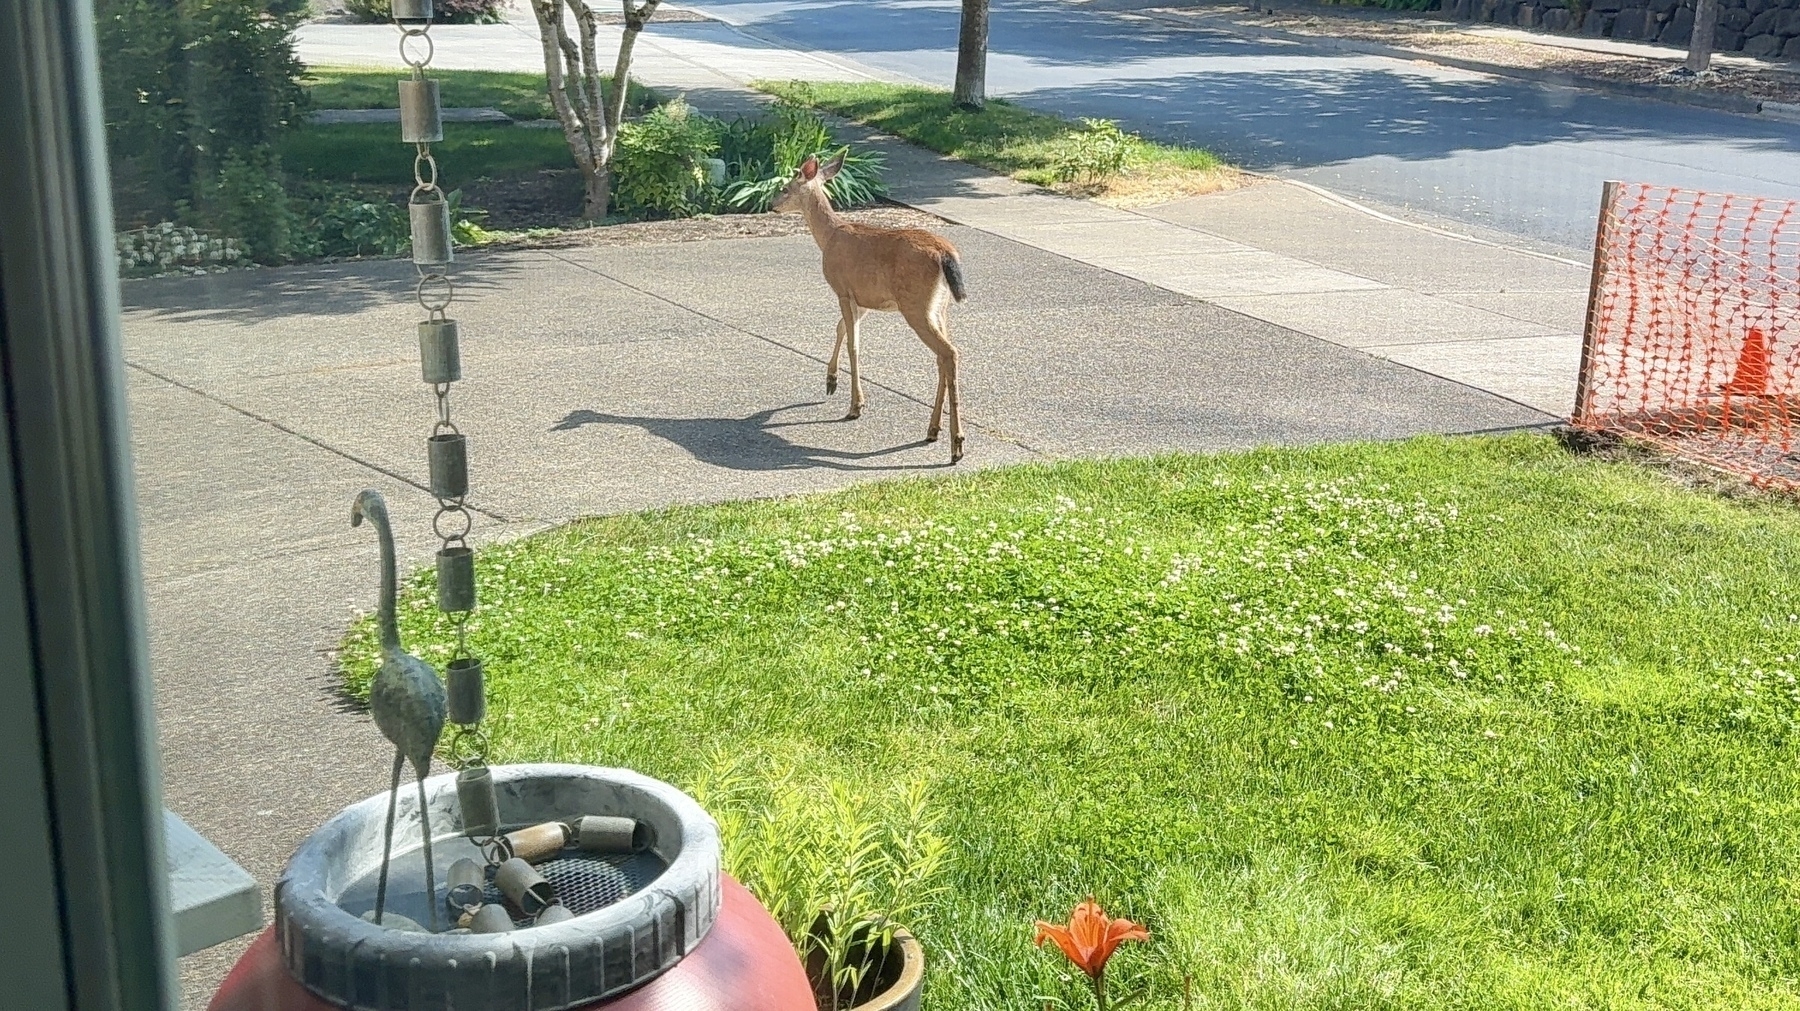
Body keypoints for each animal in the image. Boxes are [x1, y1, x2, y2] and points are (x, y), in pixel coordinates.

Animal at [773, 152, 970, 463]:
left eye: (785, 188)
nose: (772, 205)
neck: (829, 236)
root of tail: (945, 253)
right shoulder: (865, 298)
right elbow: (841, 329)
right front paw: (831, 381)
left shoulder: (843, 289)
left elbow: (853, 343)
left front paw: (855, 405)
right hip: (940, 306)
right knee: (942, 356)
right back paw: (932, 430)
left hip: (915, 304)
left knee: (949, 353)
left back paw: (956, 443)